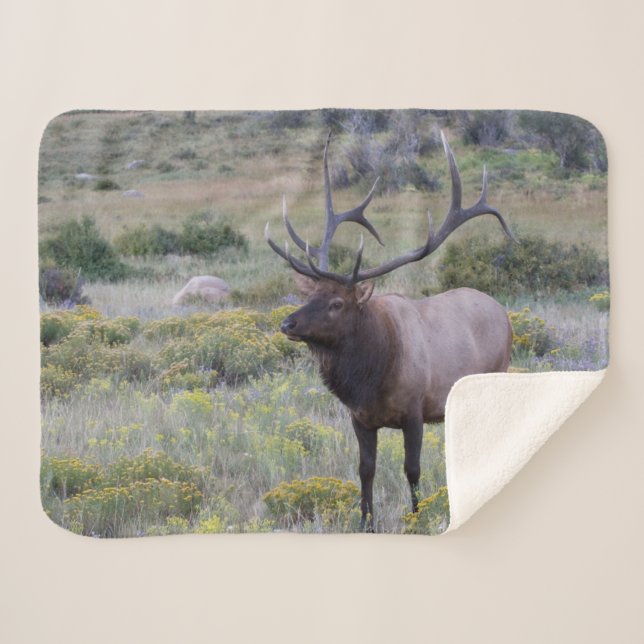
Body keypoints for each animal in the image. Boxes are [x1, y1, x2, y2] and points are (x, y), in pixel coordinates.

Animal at [265, 131, 517, 531]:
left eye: (337, 303)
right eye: (311, 294)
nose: (287, 323)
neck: (372, 376)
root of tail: (504, 314)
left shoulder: (415, 410)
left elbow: (412, 470)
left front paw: (417, 518)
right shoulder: (360, 418)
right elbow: (365, 470)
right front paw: (365, 522)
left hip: (497, 373)